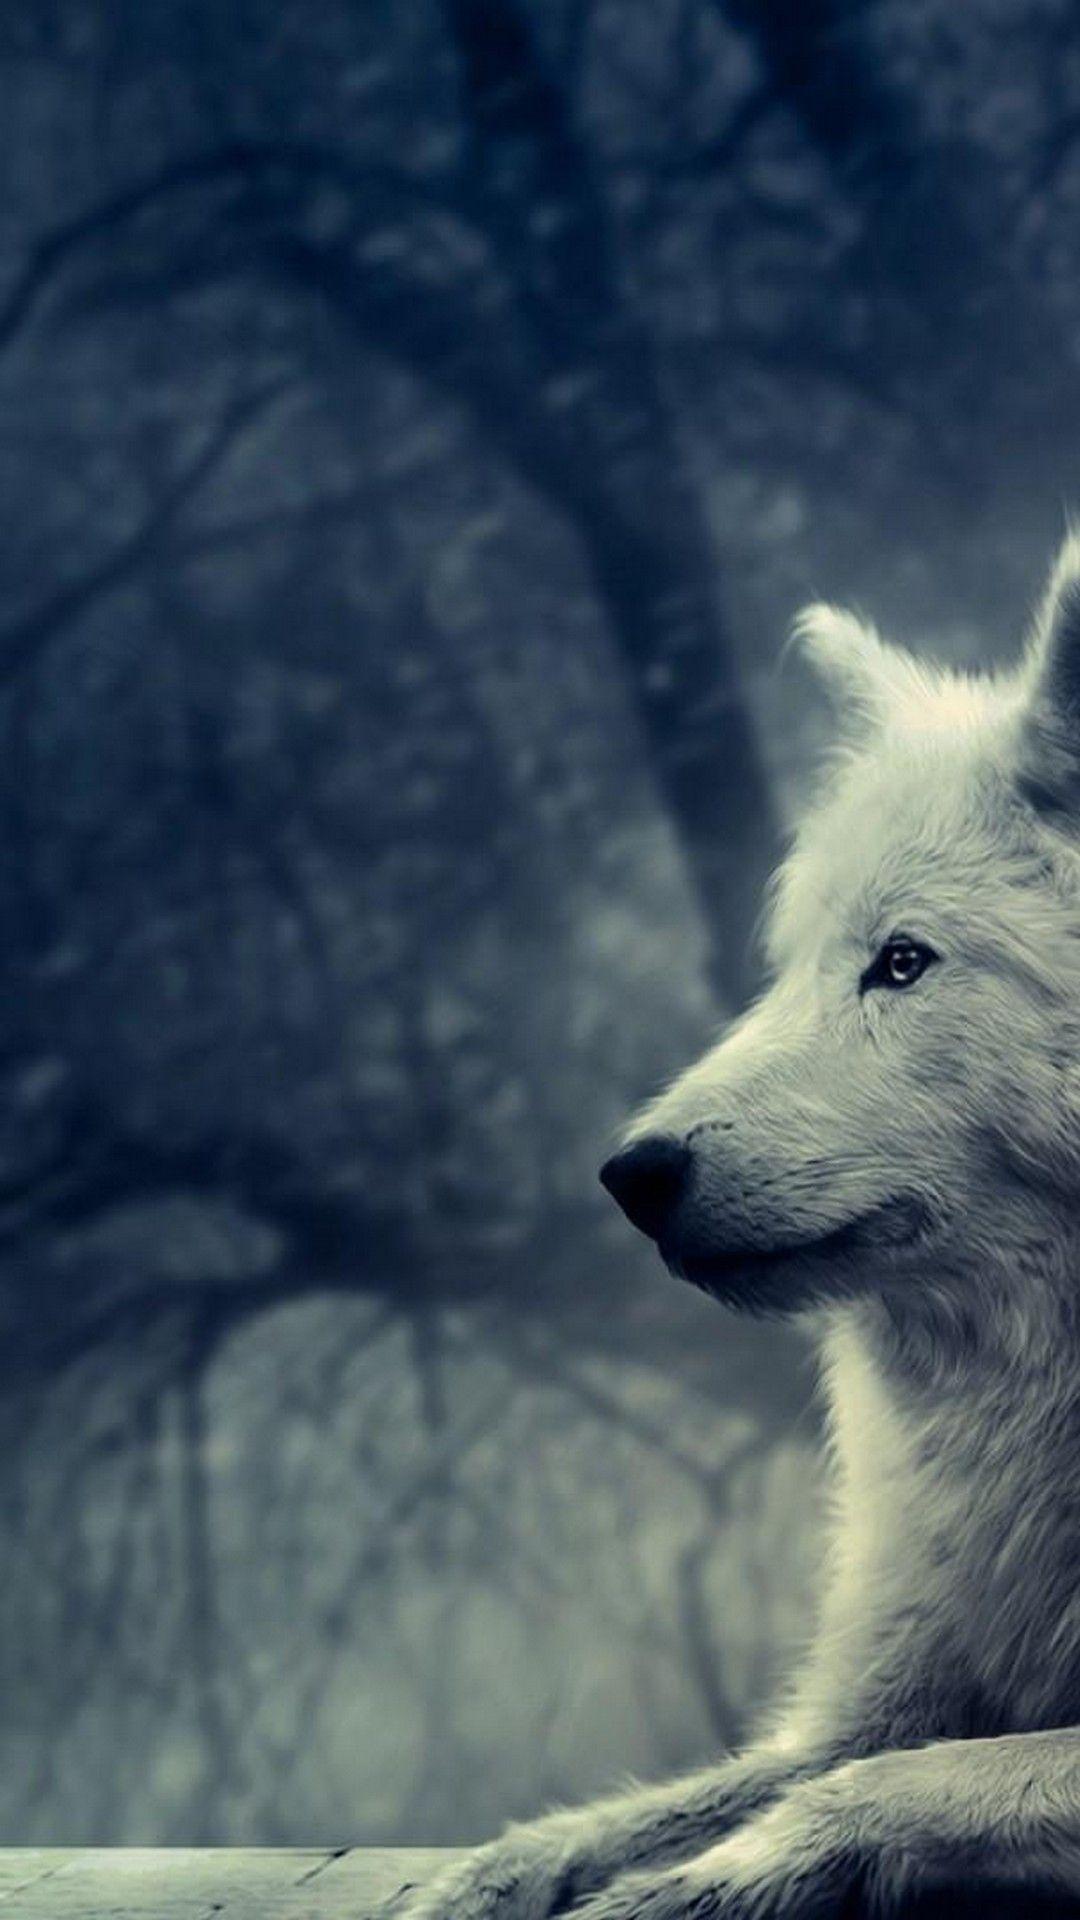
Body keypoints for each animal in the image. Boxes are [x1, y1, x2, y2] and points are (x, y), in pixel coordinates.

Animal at [399, 539, 1080, 1918]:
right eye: (792, 967)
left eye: (902, 962)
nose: (631, 1173)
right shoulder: (876, 1697)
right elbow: (655, 1805)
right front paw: (481, 1884)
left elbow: (866, 1792)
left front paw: (667, 1897)